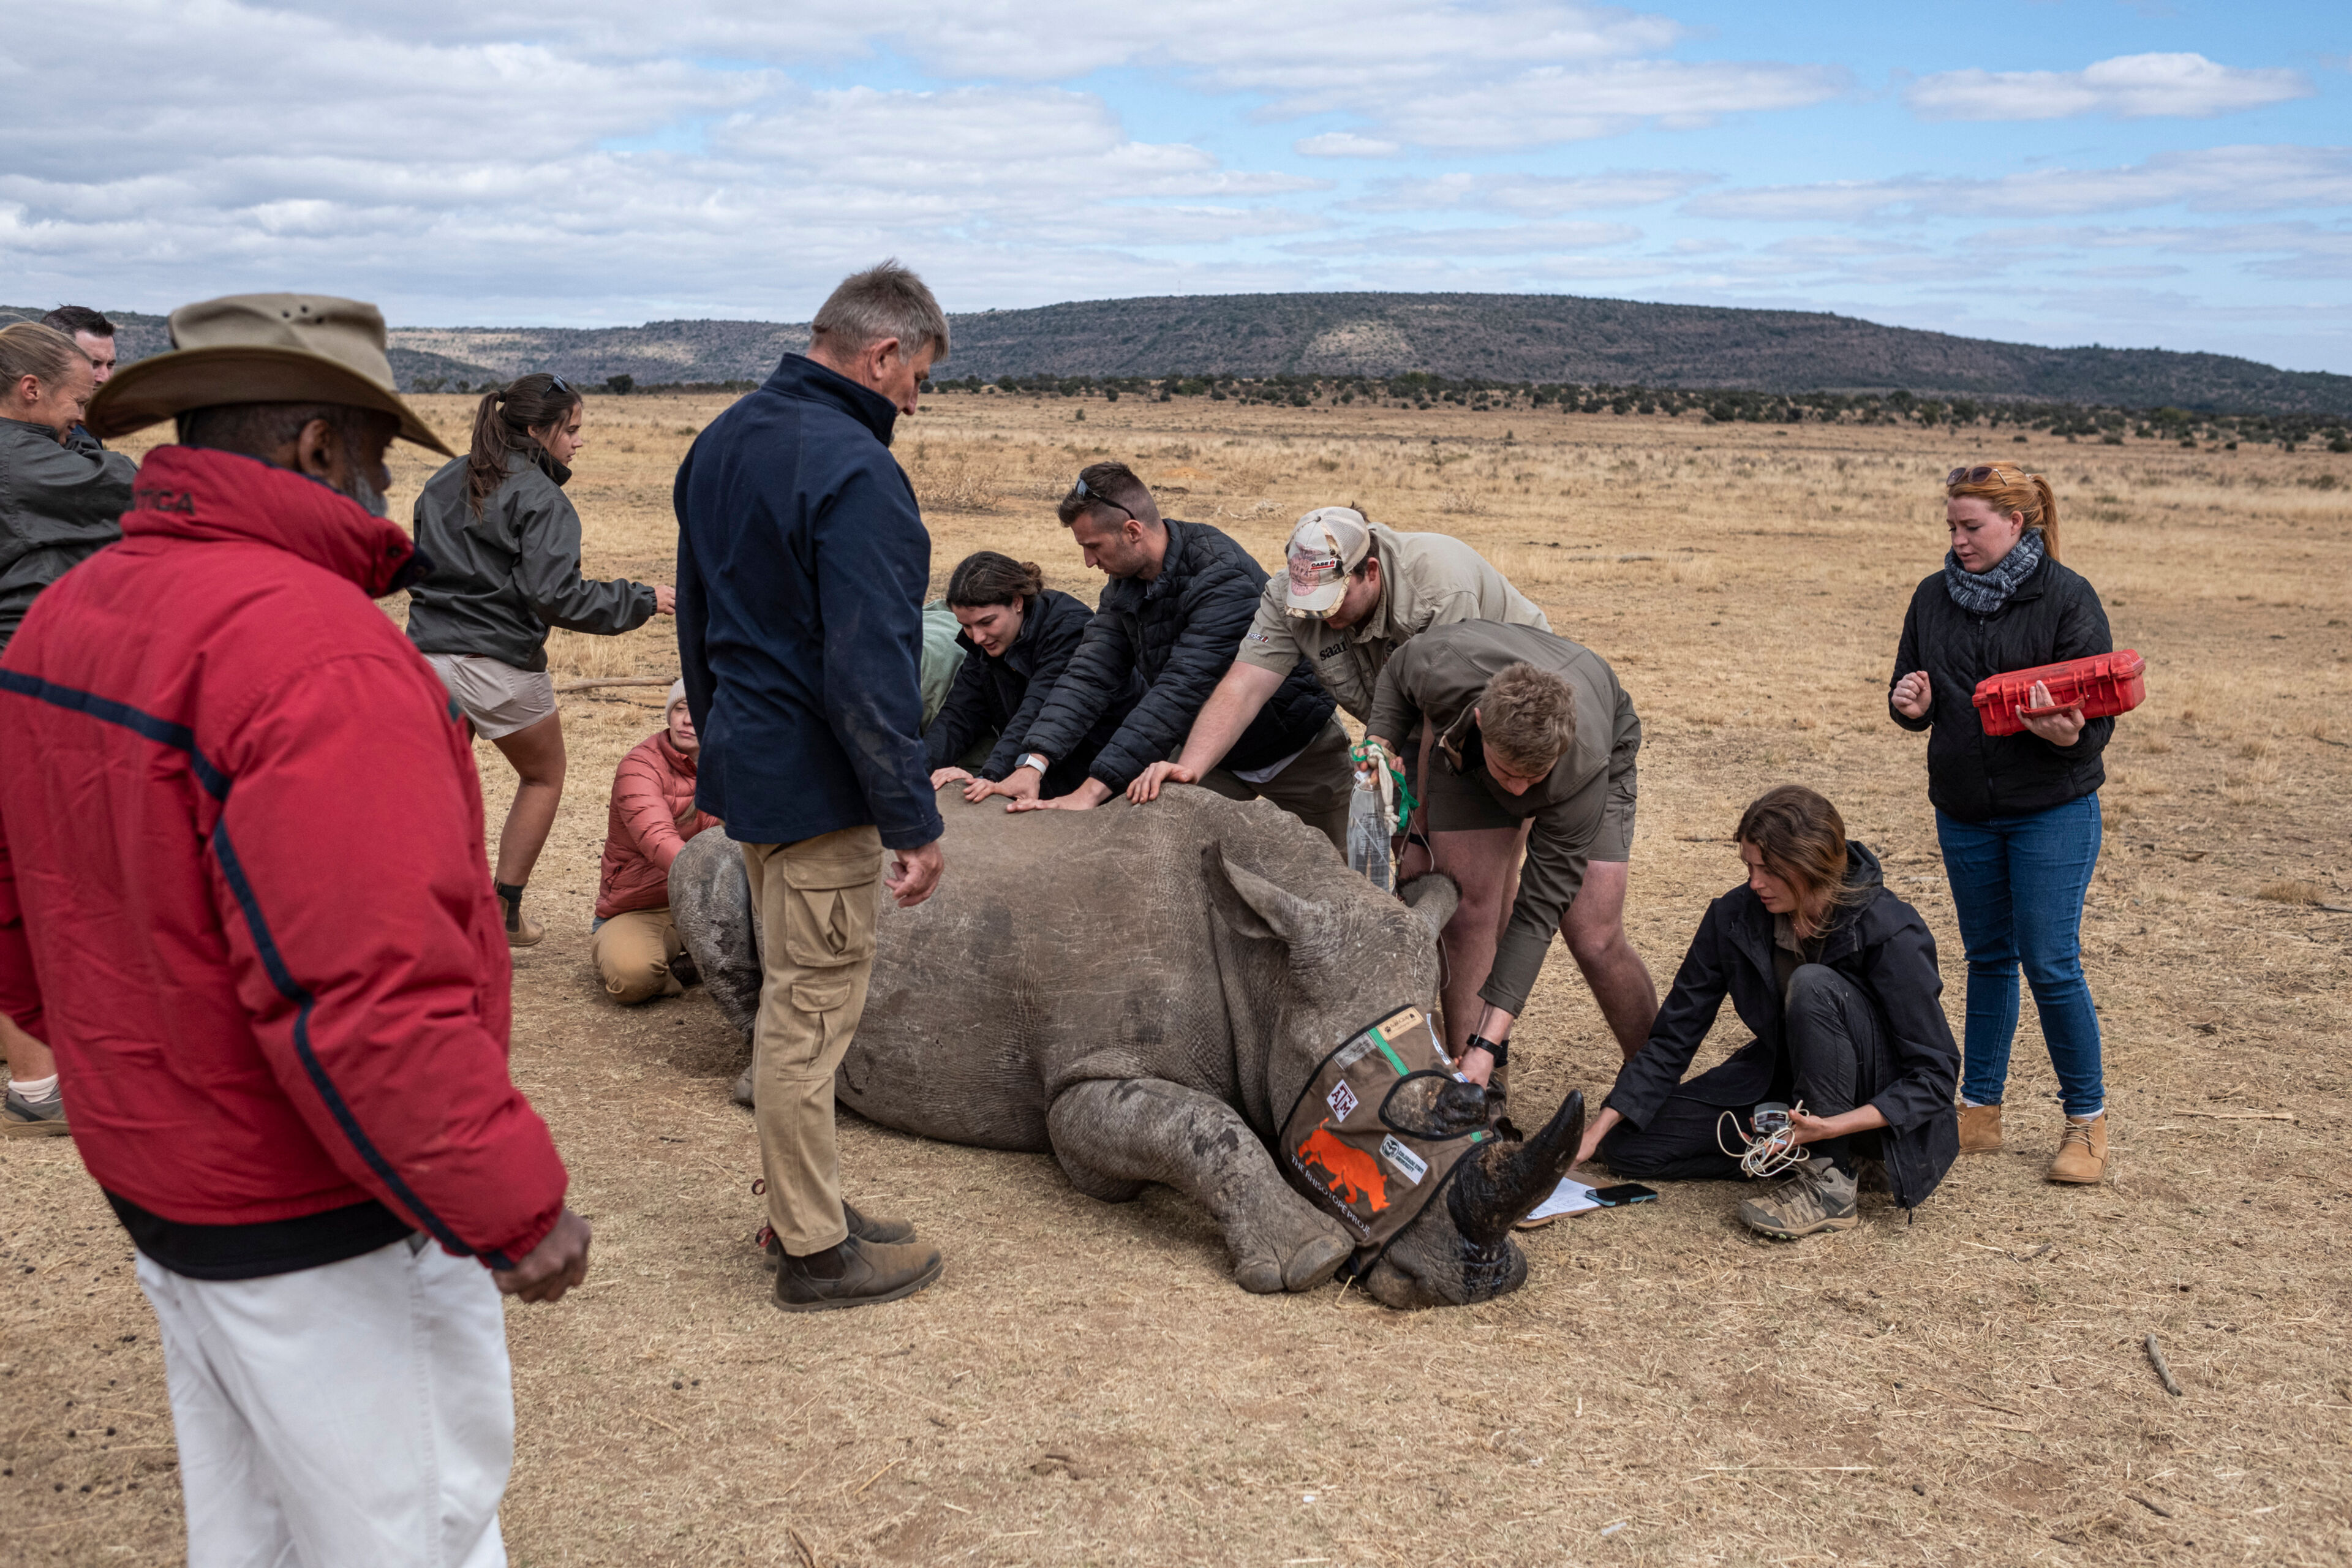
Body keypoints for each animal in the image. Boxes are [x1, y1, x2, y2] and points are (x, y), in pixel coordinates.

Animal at [669, 787, 1586, 1309]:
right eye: (1359, 1106)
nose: (1480, 1283)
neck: (1265, 966)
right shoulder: (1082, 1088)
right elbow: (1200, 1125)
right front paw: (1308, 1260)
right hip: (722, 852)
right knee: (700, 872)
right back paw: (767, 1085)